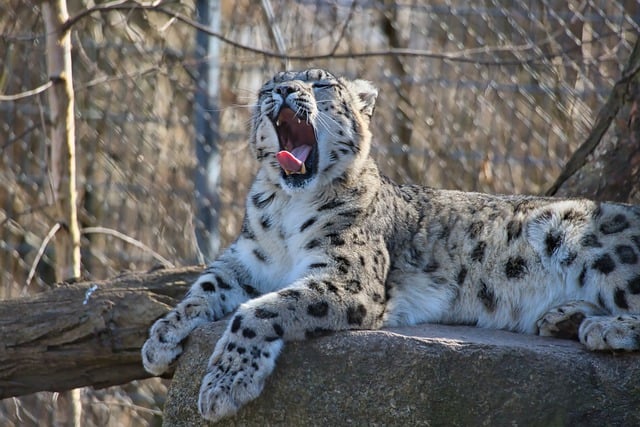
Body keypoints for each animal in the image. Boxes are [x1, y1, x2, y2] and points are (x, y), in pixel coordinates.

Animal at [142, 68, 640, 423]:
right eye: (269, 83)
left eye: (320, 83)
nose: (283, 90)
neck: (286, 207)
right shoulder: (246, 260)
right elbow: (203, 287)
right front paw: (161, 338)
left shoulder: (349, 276)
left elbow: (258, 311)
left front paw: (223, 385)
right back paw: (564, 317)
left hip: (586, 234)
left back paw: (604, 328)